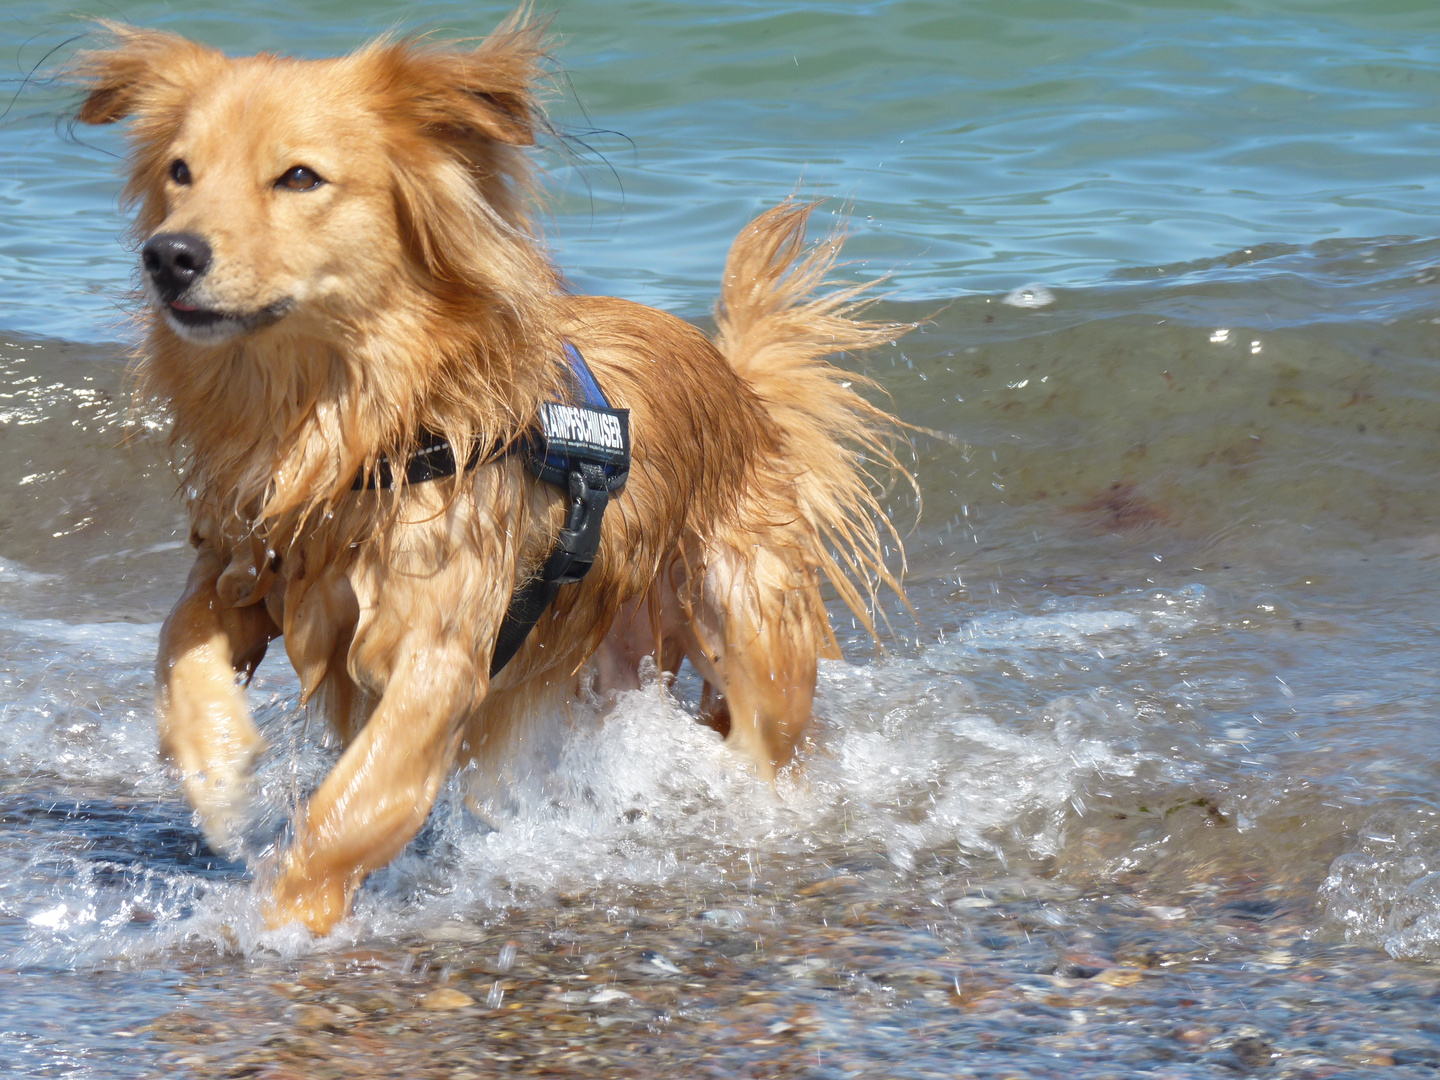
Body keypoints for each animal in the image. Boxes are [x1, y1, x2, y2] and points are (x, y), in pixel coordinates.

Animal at [73, 10, 904, 938]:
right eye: (180, 171)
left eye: (299, 177)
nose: (169, 254)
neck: (354, 423)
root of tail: (738, 385)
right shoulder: (242, 563)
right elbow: (176, 647)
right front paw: (218, 773)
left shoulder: (441, 649)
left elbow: (352, 808)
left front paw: (286, 917)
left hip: (753, 635)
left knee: (768, 742)